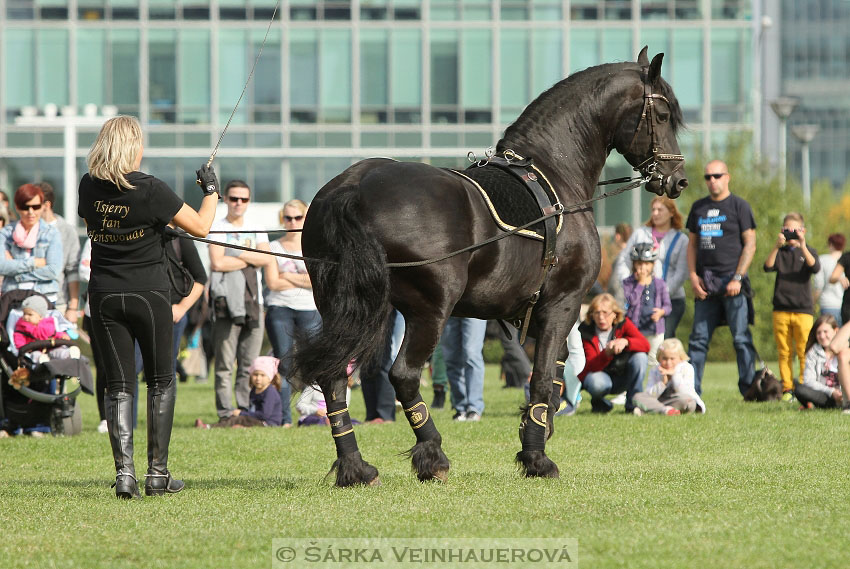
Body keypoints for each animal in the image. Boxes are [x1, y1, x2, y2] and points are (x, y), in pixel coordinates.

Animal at [294, 46, 684, 486]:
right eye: (664, 114)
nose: (678, 179)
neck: (555, 176)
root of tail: (354, 186)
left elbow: (552, 373)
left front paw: (538, 433)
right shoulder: (563, 303)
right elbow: (542, 376)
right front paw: (536, 456)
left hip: (343, 307)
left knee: (333, 376)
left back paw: (355, 467)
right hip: (428, 311)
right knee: (404, 374)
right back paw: (432, 456)